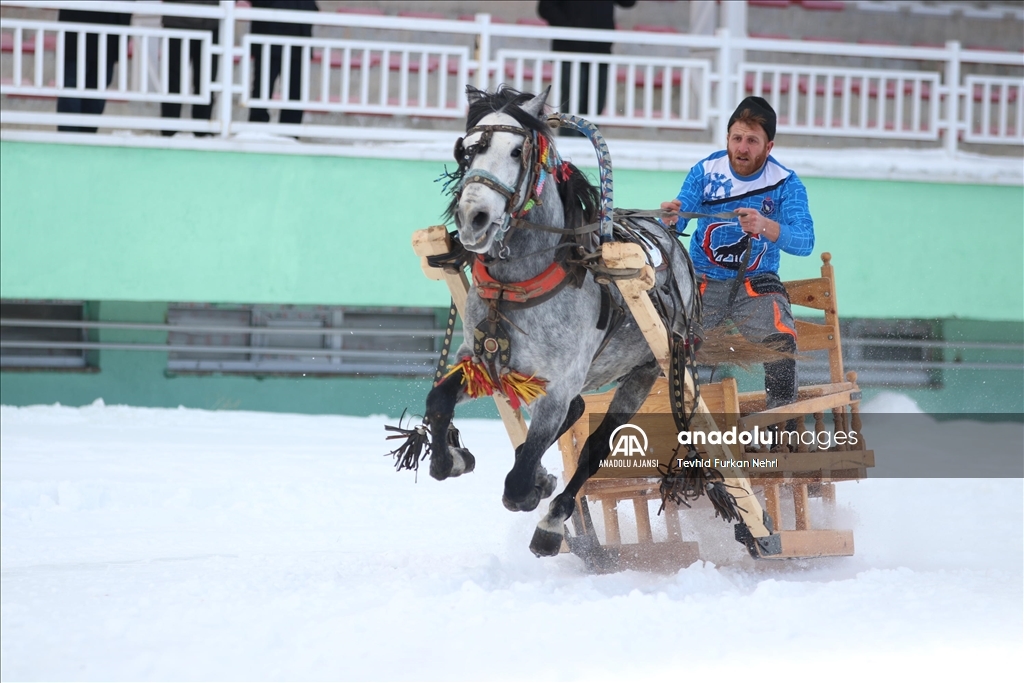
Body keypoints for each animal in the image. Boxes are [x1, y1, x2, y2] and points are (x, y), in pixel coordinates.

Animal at [407, 85, 704, 557]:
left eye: (516, 151)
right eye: (467, 151)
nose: (473, 218)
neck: (515, 285)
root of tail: (669, 238)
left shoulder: (558, 385)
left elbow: (519, 482)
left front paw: (538, 495)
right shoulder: (481, 361)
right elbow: (439, 400)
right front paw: (449, 457)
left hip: (647, 369)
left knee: (595, 444)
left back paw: (553, 516)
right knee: (575, 414)